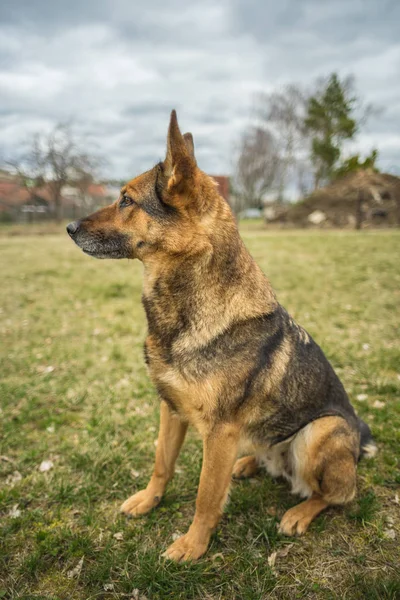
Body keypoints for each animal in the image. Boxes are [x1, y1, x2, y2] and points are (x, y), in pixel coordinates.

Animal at [67, 110, 376, 560]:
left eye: (126, 200)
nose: (69, 227)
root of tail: (358, 440)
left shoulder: (220, 430)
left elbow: (206, 494)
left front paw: (193, 544)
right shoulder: (170, 409)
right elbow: (162, 463)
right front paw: (148, 500)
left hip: (321, 432)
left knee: (335, 494)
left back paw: (300, 512)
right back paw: (247, 464)